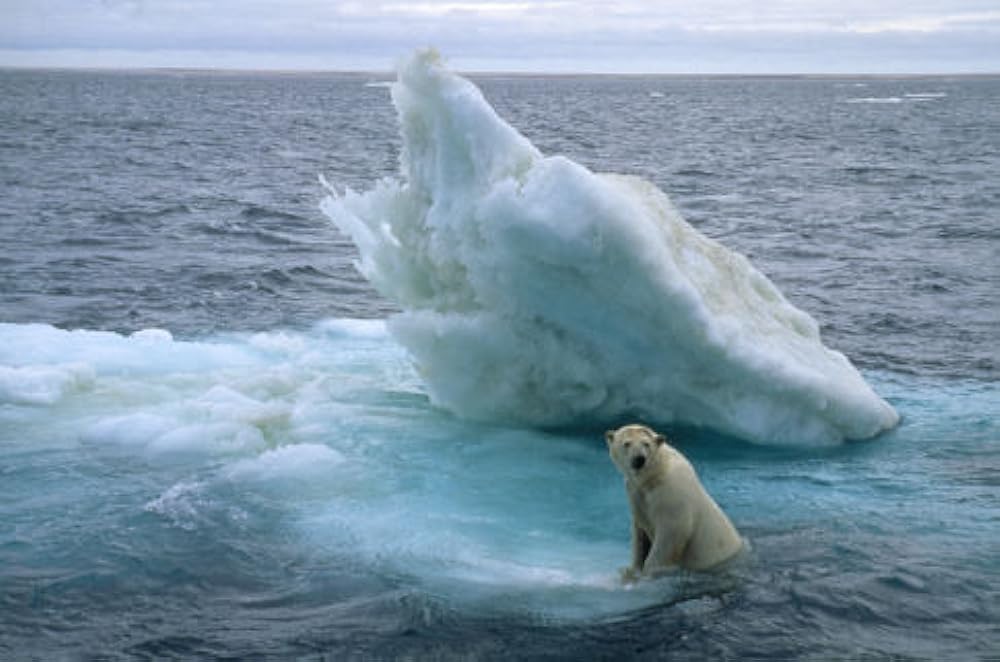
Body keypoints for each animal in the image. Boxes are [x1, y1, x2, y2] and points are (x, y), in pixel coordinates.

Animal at [600, 428, 744, 580]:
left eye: (646, 444)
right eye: (627, 443)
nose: (639, 459)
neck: (654, 475)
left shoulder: (671, 493)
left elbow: (671, 533)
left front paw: (648, 571)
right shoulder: (636, 493)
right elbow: (640, 535)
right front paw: (631, 570)